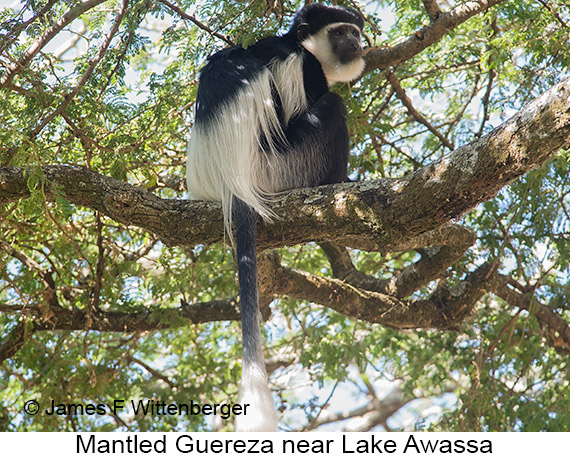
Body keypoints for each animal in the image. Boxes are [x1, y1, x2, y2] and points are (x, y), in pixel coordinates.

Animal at [186, 4, 364, 432]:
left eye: (354, 31)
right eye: (340, 31)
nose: (356, 41)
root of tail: (233, 183)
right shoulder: (301, 66)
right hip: (284, 168)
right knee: (331, 108)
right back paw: (337, 181)